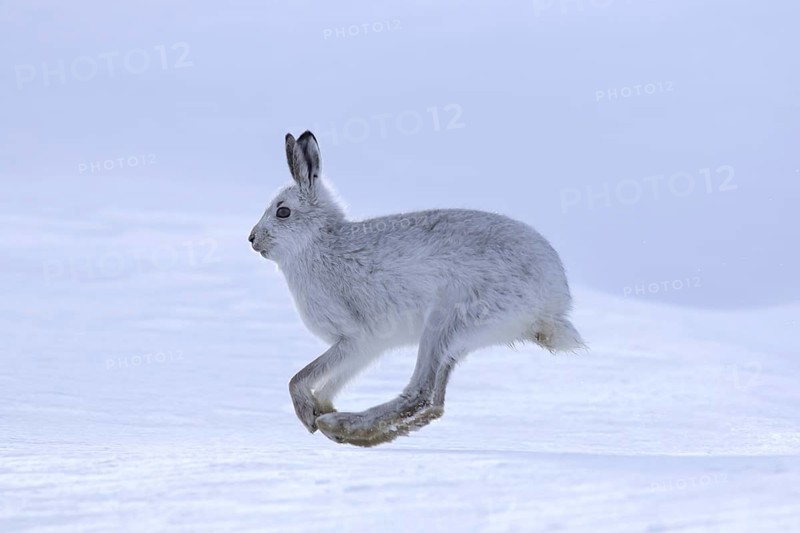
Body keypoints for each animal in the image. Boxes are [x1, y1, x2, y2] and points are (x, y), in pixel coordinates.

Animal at [249, 131, 585, 447]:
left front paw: (309, 414)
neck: (319, 242)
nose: (252, 239)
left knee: (421, 394)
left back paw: (340, 425)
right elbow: (332, 380)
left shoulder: (356, 338)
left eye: (283, 212)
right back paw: (351, 431)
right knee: (435, 402)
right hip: (456, 340)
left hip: (444, 322)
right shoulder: (364, 349)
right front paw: (321, 407)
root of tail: (552, 302)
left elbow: (299, 377)